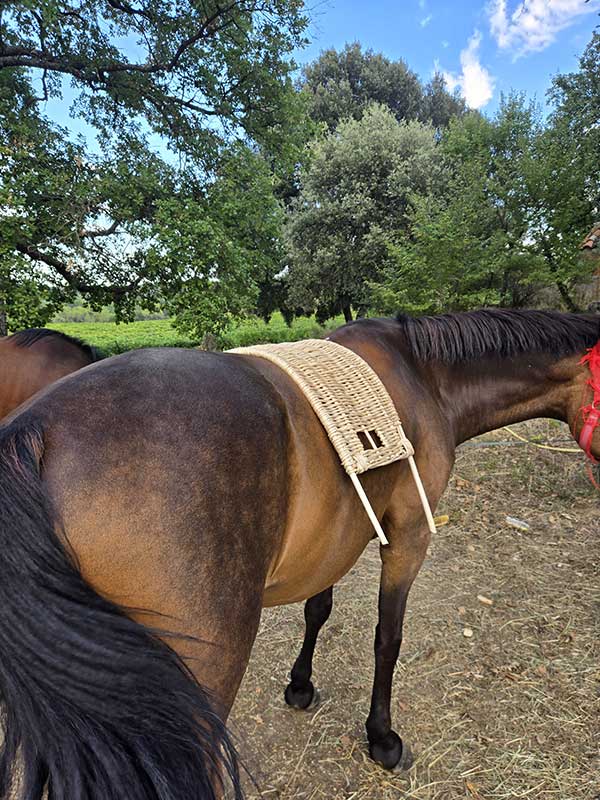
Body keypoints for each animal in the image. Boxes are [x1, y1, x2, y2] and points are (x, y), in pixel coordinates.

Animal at [0, 309, 597, 799]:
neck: (425, 377)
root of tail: (37, 434)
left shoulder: (336, 537)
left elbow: (318, 609)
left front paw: (301, 685)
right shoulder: (407, 537)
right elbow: (388, 637)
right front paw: (381, 737)